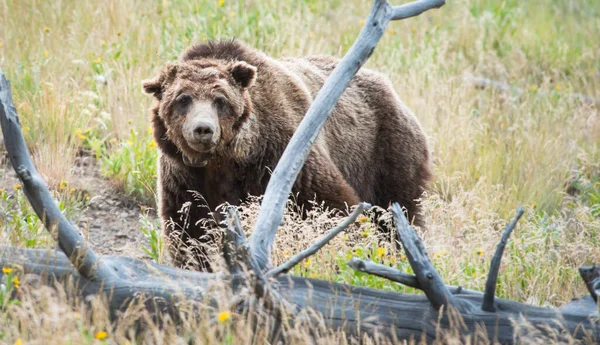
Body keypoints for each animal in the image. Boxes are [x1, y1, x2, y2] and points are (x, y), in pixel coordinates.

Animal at [141, 39, 432, 272]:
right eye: (183, 98)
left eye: (220, 99)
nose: (203, 129)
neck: (225, 161)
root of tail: (392, 89)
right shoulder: (185, 179)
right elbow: (190, 232)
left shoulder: (281, 155)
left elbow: (331, 205)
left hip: (385, 152)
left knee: (396, 212)